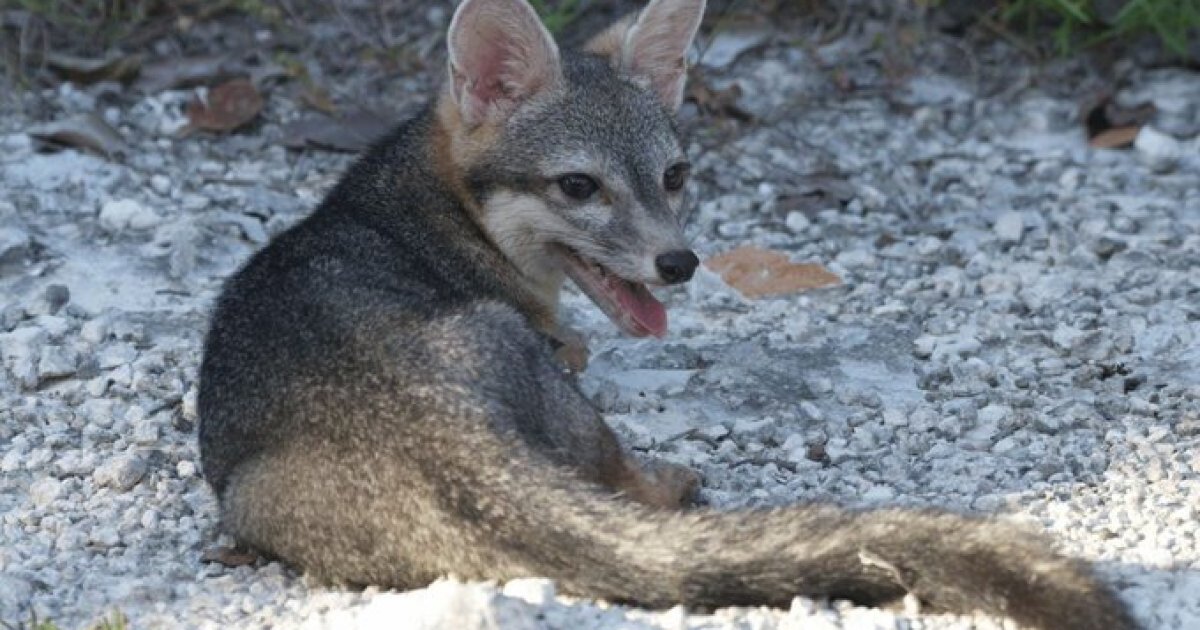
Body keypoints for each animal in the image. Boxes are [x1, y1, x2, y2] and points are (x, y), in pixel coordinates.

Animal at [196, 0, 1138, 628]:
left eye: (675, 176)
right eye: (579, 186)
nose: (678, 264)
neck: (421, 209)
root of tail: (441, 436)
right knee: (624, 477)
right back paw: (673, 484)